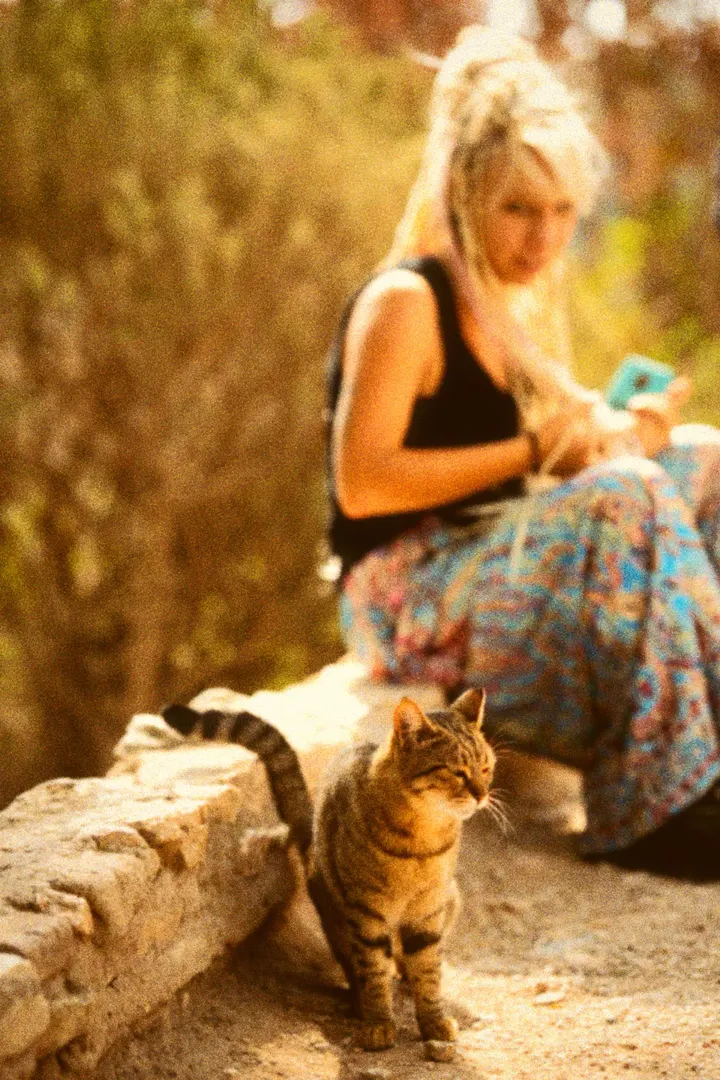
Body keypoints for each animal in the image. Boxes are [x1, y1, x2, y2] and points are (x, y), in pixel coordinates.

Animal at [161, 687, 495, 1052]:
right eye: (457, 772)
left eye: (486, 768)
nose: (483, 796)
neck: (423, 839)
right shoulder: (366, 913)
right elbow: (373, 971)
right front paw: (379, 1022)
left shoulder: (428, 911)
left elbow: (428, 971)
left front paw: (433, 1020)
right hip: (337, 917)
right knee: (357, 966)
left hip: (449, 901)